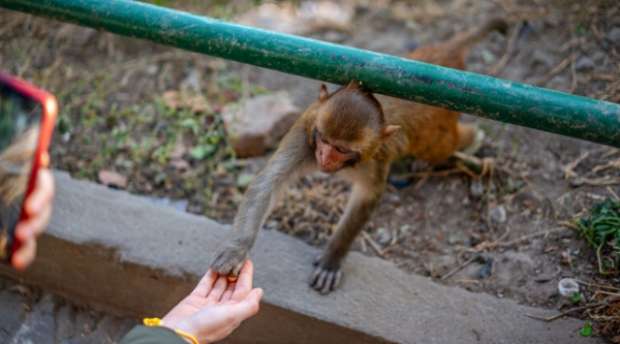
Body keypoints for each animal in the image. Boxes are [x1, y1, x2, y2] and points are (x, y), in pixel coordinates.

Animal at [211, 18, 506, 292]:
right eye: (324, 140)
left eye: (342, 149)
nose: (325, 159)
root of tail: (441, 56)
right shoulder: (304, 132)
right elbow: (270, 182)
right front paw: (237, 249)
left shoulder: (374, 158)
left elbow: (367, 195)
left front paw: (332, 259)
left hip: (436, 130)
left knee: (444, 145)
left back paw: (473, 141)